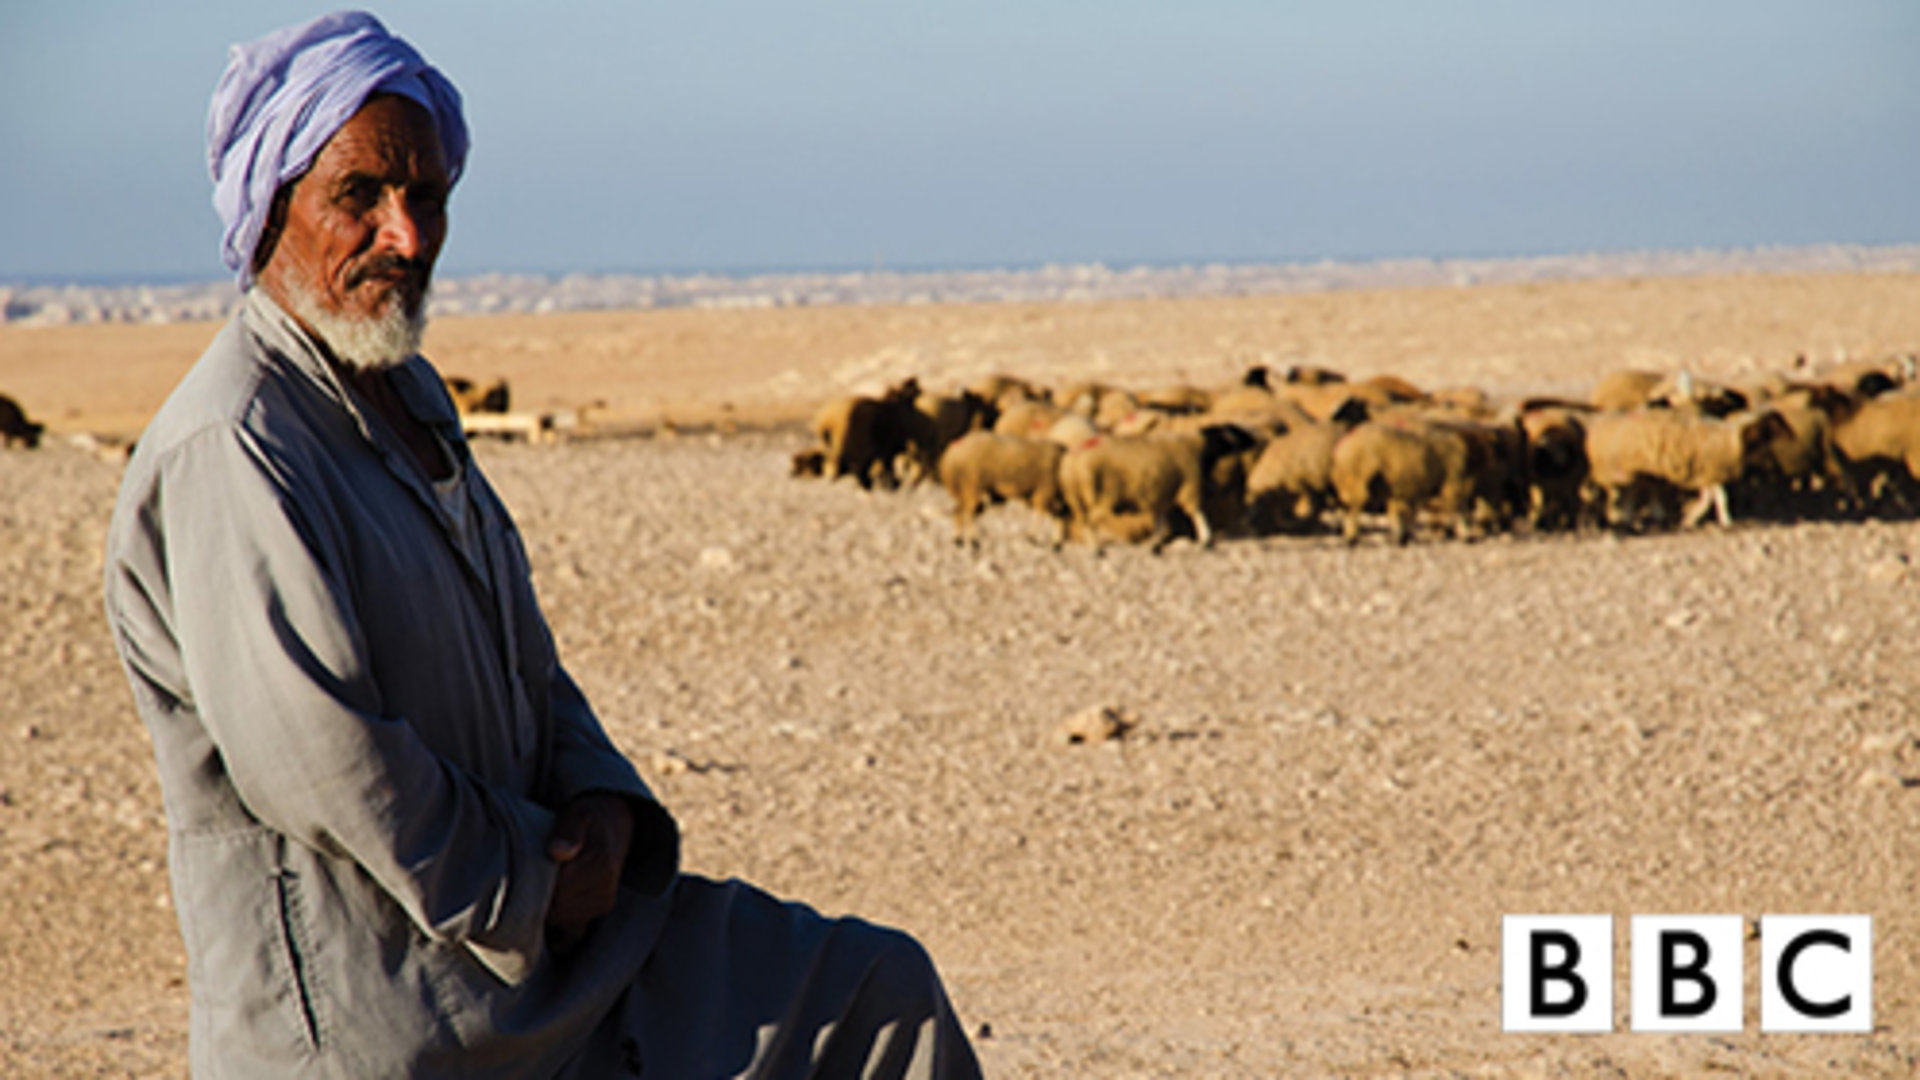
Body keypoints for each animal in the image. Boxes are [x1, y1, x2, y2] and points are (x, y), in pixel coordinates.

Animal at [936, 428, 1075, 545]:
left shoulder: (1041, 493)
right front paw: (1033, 537)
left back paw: (958, 539)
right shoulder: (1044, 489)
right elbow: (1041, 514)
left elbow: (1056, 514)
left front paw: (1054, 542)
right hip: (973, 486)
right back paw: (973, 540)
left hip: (966, 490)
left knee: (959, 511)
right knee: (967, 513)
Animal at [1052, 422, 1259, 549]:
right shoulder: (1189, 485)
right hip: (1102, 495)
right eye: (1236, 432)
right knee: (1087, 521)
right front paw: (1206, 539)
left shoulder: (1163, 492)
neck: (1201, 447)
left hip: (1076, 497)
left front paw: (1156, 544)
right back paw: (1095, 548)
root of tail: (1073, 458)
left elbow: (1160, 518)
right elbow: (1197, 513)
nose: (1256, 439)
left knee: (1073, 518)